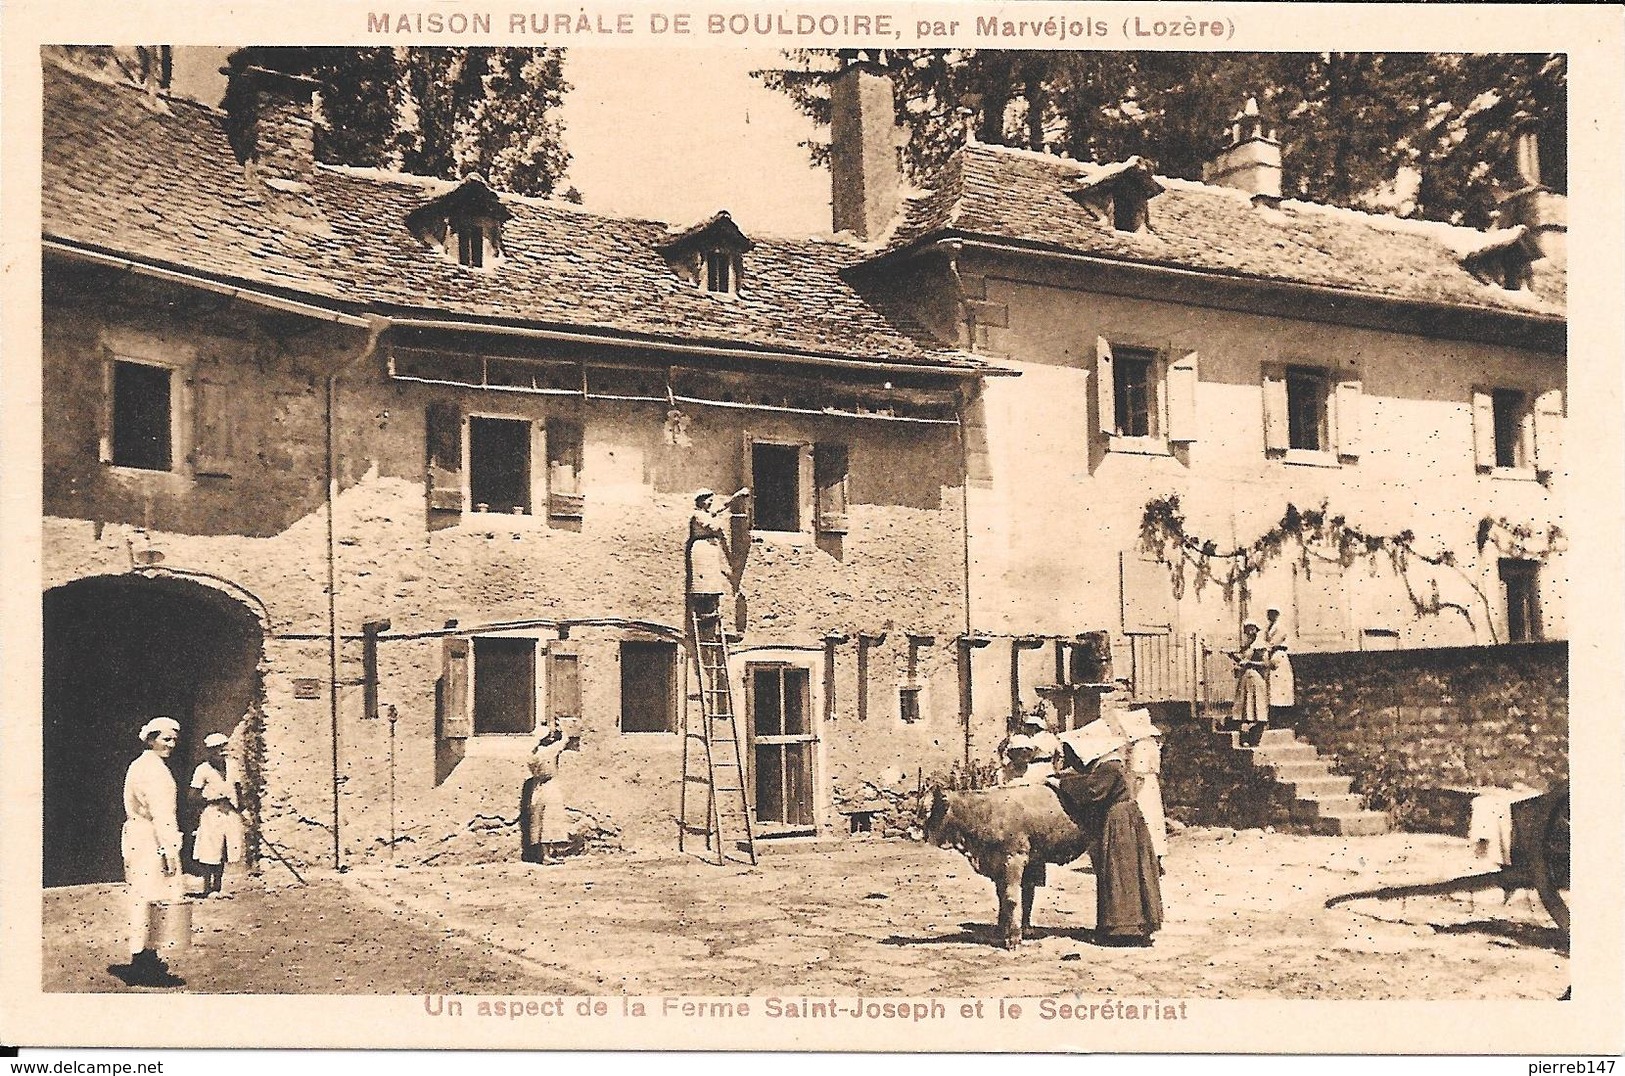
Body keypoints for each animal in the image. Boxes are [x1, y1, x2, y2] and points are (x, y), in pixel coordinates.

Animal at [929, 783, 1092, 955]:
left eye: (929, 809)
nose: (919, 831)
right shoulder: (997, 864)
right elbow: (1002, 897)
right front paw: (1001, 931)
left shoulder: (1014, 859)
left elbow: (1011, 899)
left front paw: (1013, 940)